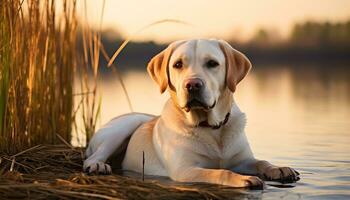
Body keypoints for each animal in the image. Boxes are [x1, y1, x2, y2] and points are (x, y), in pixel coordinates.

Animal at [83, 38, 300, 188]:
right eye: (178, 64)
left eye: (212, 63)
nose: (193, 85)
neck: (211, 128)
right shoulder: (185, 170)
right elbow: (219, 172)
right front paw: (244, 179)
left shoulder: (242, 159)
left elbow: (262, 161)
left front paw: (279, 169)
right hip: (125, 126)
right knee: (93, 156)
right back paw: (98, 166)